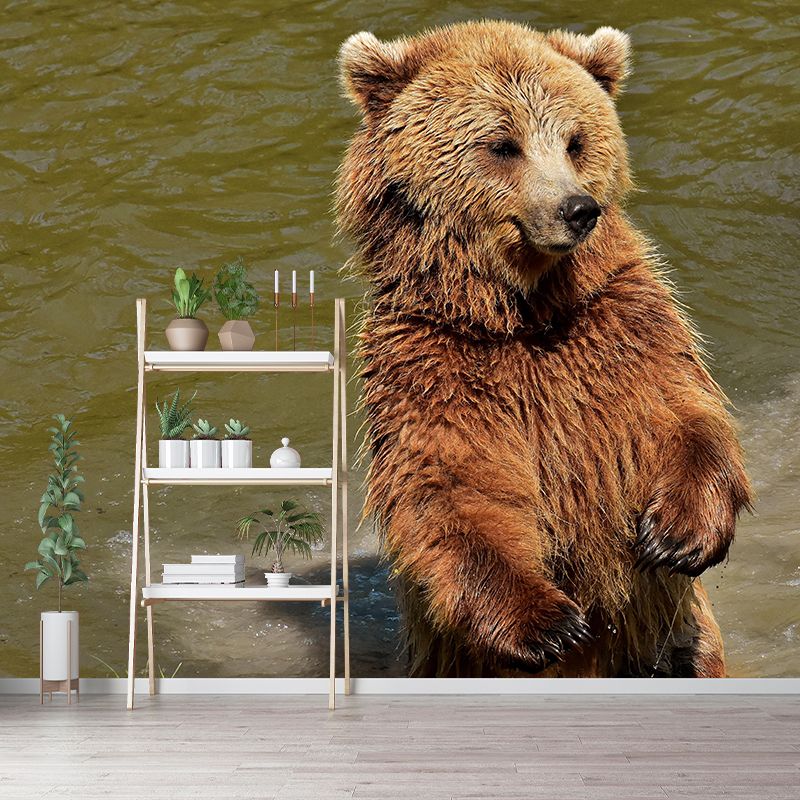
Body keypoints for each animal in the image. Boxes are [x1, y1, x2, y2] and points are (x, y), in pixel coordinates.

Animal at [335, 20, 753, 677]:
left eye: (576, 141)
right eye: (503, 145)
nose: (577, 208)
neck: (521, 316)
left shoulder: (619, 325)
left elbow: (680, 413)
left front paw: (676, 534)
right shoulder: (434, 364)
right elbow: (456, 486)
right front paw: (550, 623)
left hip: (673, 643)